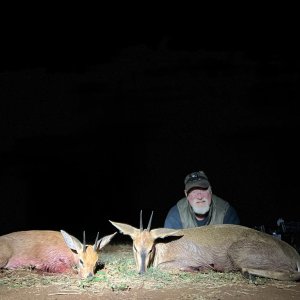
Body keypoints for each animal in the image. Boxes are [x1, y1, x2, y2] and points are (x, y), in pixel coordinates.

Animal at [109, 212, 300, 280]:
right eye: (134, 247)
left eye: (151, 249)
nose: (141, 272)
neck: (164, 246)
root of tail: (293, 253)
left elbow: (162, 267)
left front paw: (201, 269)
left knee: (293, 275)